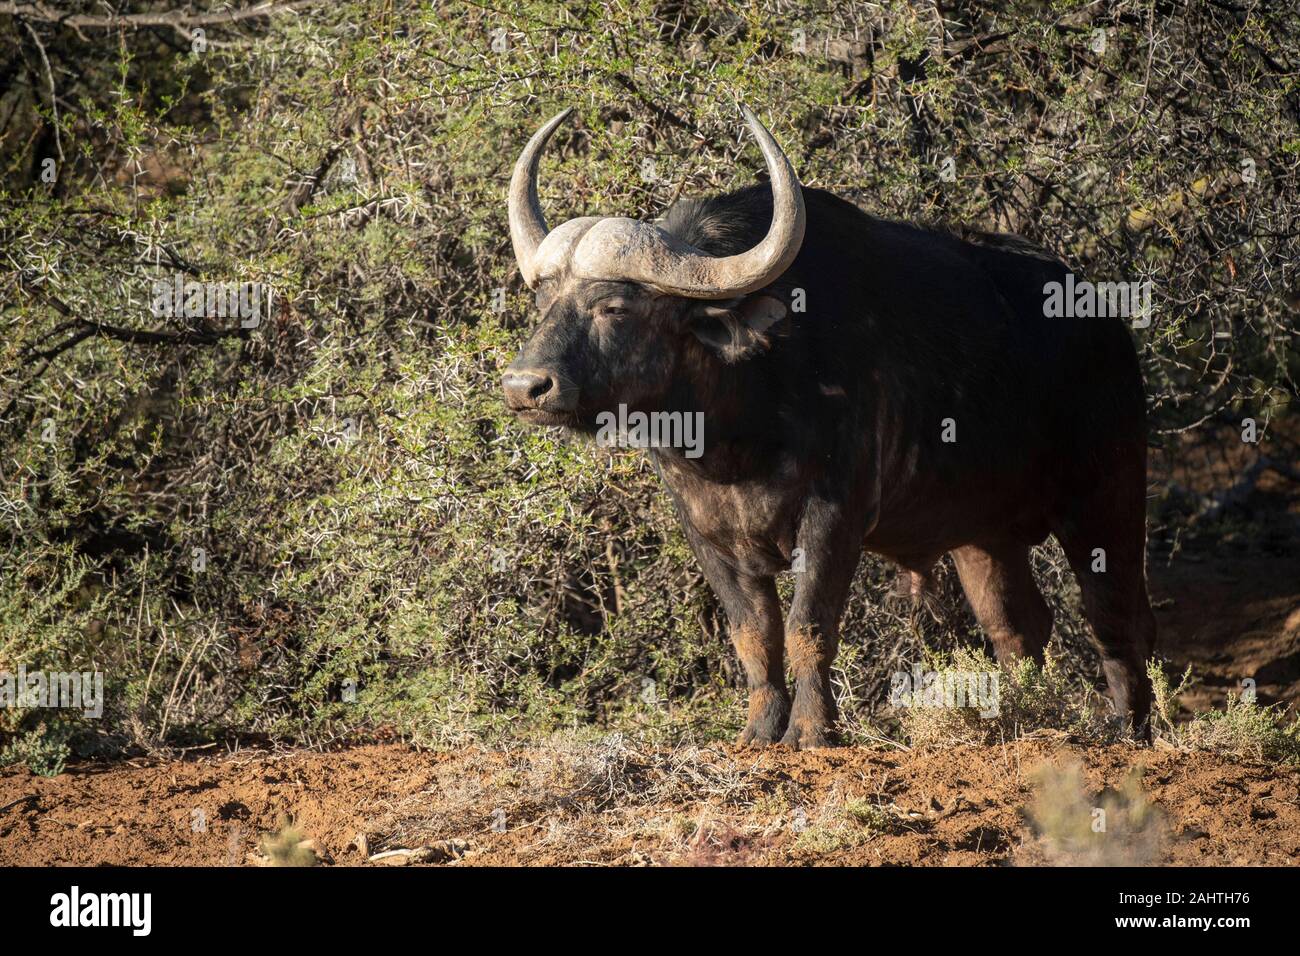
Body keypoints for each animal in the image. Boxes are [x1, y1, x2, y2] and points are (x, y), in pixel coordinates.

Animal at [502, 106, 1156, 748]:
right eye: (542, 303)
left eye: (615, 307)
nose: (524, 387)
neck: (735, 434)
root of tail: (1106, 324)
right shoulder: (707, 533)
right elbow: (753, 633)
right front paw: (760, 730)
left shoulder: (834, 517)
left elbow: (807, 625)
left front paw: (812, 730)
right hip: (983, 533)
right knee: (1018, 626)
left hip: (1107, 498)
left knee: (1115, 617)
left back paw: (1128, 730)